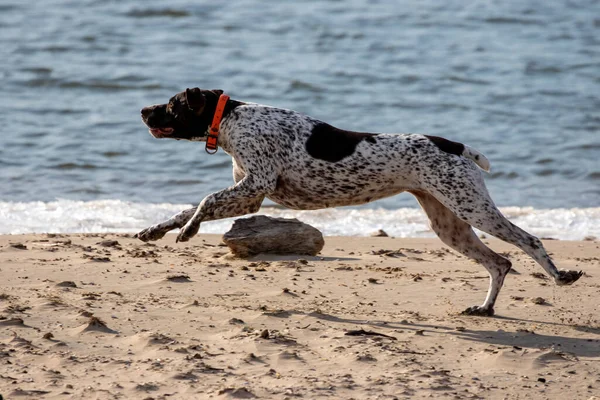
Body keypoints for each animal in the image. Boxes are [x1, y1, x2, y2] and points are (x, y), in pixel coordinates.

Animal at [139, 87, 580, 316]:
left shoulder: (256, 184)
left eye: (172, 104)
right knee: (499, 263)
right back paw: (485, 308)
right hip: (449, 224)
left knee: (528, 241)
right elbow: (188, 207)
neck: (231, 119)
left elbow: (204, 200)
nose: (143, 109)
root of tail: (455, 145)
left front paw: (189, 229)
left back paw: (560, 276)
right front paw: (157, 229)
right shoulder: (251, 197)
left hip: (471, 207)